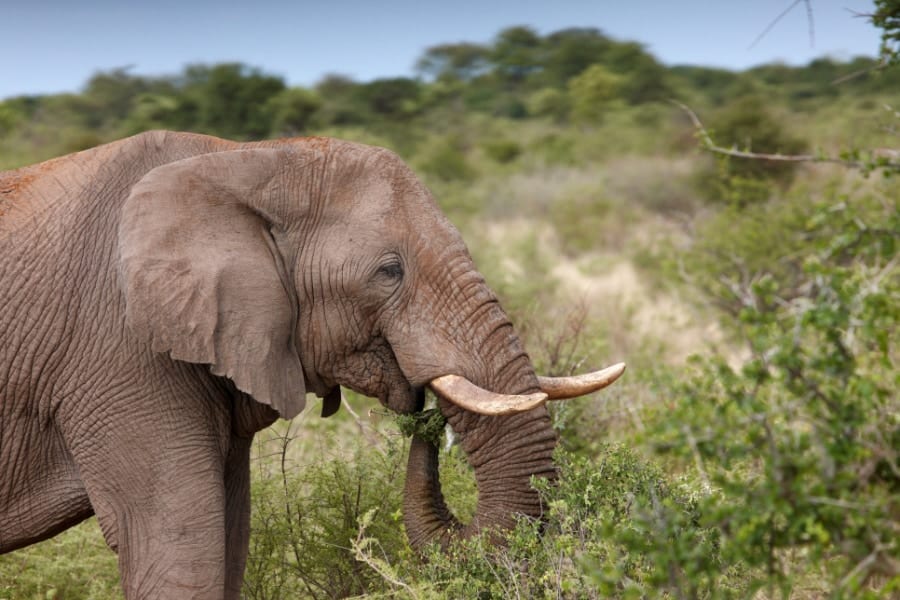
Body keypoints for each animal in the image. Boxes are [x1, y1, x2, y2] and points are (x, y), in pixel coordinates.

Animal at [0, 132, 624, 600]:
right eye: (389, 271)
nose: (424, 416)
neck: (248, 160)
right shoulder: (120, 351)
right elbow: (179, 543)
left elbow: (229, 537)